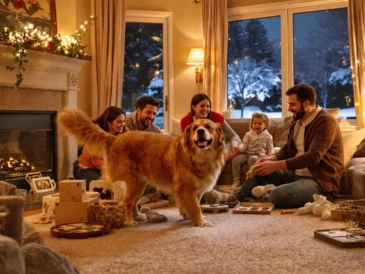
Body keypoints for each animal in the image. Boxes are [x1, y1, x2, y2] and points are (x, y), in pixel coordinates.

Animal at [57, 107, 225, 227]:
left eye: (208, 126)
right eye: (195, 128)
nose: (201, 131)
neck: (198, 156)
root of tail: (114, 139)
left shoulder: (196, 190)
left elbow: (193, 205)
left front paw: (189, 217)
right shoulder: (186, 188)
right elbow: (196, 207)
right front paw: (200, 222)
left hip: (140, 184)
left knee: (133, 203)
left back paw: (138, 216)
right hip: (129, 183)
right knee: (126, 203)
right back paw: (129, 221)